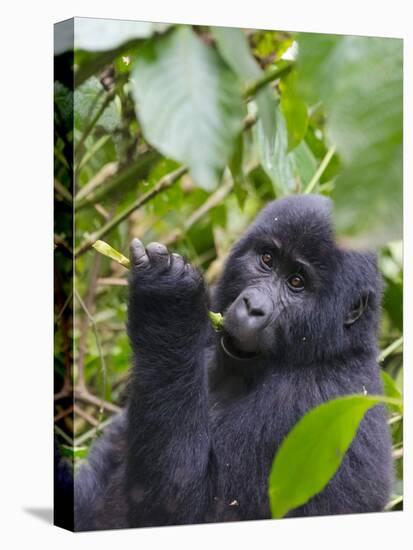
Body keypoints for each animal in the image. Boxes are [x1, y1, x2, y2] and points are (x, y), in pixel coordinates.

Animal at [71, 196, 392, 532]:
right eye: (267, 259)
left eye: (296, 282)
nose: (253, 307)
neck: (331, 349)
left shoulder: (308, 401)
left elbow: (182, 509)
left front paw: (167, 301)